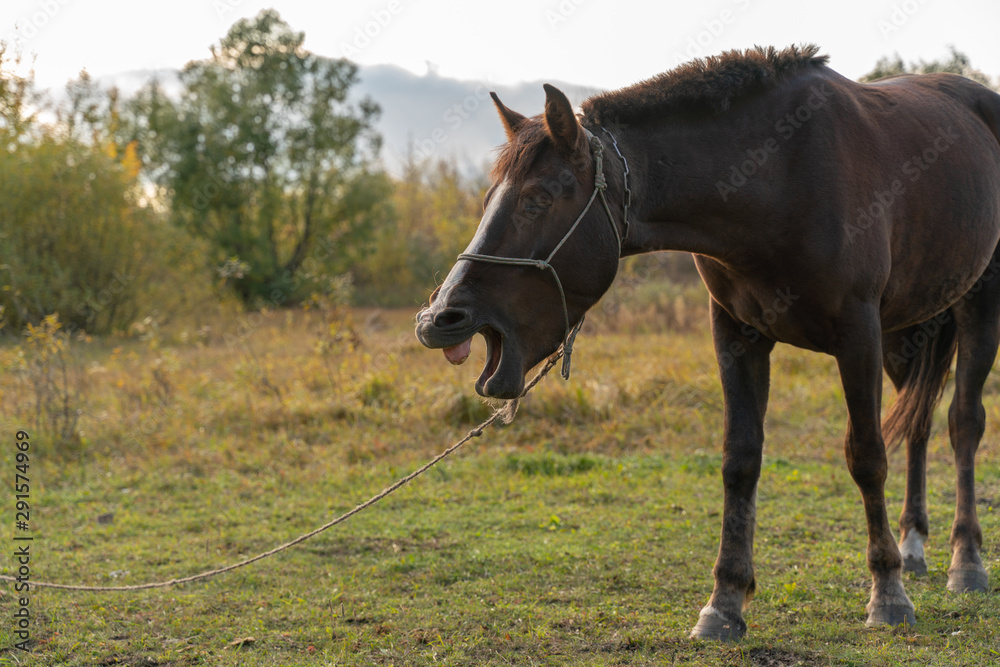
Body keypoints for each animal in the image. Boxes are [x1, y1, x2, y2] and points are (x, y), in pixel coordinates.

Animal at [415, 45, 1000, 640]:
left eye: (536, 199)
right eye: (490, 197)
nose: (441, 318)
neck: (780, 178)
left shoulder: (858, 333)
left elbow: (866, 455)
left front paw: (887, 592)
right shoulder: (737, 334)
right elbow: (739, 460)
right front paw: (725, 602)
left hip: (974, 307)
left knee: (962, 423)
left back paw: (965, 560)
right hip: (907, 333)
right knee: (920, 424)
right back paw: (914, 545)